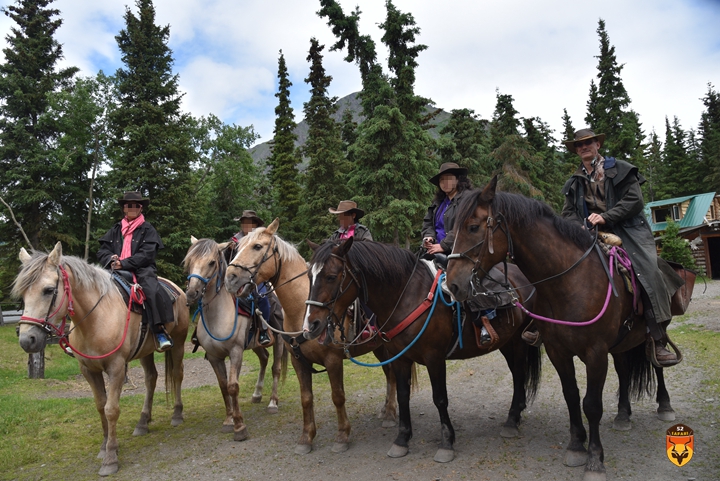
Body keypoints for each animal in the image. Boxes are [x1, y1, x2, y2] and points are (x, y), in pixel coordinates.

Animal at [14, 242, 188, 474]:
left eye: (48, 290)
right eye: (22, 294)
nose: (27, 340)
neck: (96, 318)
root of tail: (176, 289)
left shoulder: (116, 368)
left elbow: (111, 409)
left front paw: (111, 458)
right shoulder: (88, 370)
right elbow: (100, 406)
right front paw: (105, 447)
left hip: (178, 343)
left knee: (177, 375)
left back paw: (177, 414)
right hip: (145, 351)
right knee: (151, 379)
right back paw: (143, 422)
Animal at [183, 234, 290, 440]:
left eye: (211, 262)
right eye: (189, 261)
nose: (192, 293)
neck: (218, 315)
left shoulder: (235, 352)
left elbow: (233, 386)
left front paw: (239, 425)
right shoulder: (214, 357)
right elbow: (224, 386)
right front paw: (229, 420)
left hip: (279, 340)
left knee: (276, 368)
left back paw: (273, 402)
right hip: (255, 344)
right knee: (264, 359)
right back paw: (257, 394)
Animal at [224, 220, 400, 454]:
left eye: (258, 246)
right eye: (237, 247)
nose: (230, 278)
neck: (302, 310)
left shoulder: (333, 360)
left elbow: (338, 396)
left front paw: (342, 436)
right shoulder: (298, 361)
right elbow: (306, 398)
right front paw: (306, 438)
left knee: (392, 374)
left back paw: (389, 414)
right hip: (379, 347)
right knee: (389, 373)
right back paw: (386, 410)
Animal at [300, 236, 544, 462]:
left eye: (331, 277)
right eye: (309, 276)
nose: (311, 326)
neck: (407, 296)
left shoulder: (434, 358)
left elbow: (440, 398)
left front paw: (446, 443)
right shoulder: (399, 358)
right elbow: (403, 395)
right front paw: (401, 440)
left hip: (519, 342)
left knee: (519, 374)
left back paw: (511, 421)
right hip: (507, 343)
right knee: (517, 374)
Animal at [448, 176, 676, 480]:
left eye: (473, 227)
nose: (452, 284)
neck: (570, 282)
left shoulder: (595, 353)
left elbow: (591, 404)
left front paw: (595, 460)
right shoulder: (558, 351)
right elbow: (571, 396)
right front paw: (576, 446)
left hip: (655, 332)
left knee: (657, 363)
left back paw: (664, 405)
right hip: (621, 344)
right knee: (625, 370)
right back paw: (623, 415)